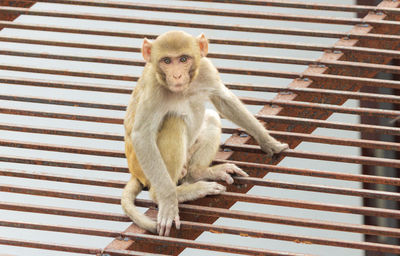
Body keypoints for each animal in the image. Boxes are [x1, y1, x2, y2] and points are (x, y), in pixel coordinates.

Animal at [122, 30, 288, 236]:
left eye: (183, 59)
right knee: (173, 121)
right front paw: (168, 201)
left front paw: (269, 142)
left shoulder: (206, 69)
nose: (177, 75)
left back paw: (199, 172)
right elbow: (142, 135)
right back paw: (176, 193)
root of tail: (134, 171)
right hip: (143, 168)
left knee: (211, 118)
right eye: (166, 61)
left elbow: (224, 100)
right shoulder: (154, 87)